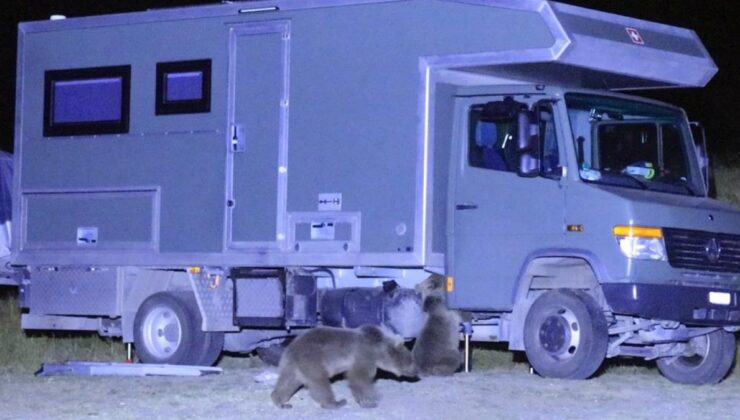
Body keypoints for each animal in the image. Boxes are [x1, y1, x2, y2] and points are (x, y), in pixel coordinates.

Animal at [274, 324, 422, 408]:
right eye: (411, 360)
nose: (417, 371)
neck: (378, 350)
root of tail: (291, 348)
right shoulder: (364, 355)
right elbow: (359, 377)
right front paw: (372, 399)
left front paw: (365, 400)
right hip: (313, 361)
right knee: (320, 383)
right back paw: (335, 403)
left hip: (293, 367)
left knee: (287, 383)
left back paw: (281, 402)